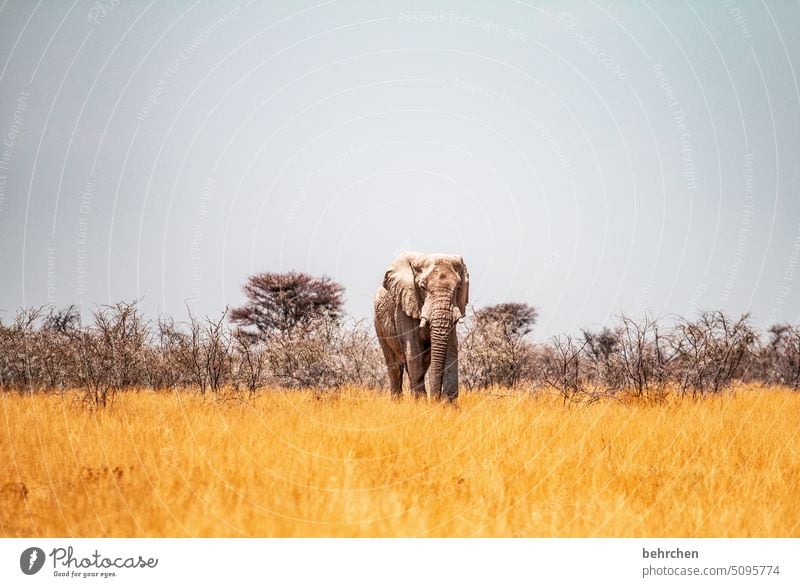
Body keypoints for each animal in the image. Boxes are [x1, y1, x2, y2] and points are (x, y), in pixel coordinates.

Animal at [374, 250, 468, 402]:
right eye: (423, 288)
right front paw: (421, 403)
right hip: (380, 325)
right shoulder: (404, 306)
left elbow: (452, 348)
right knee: (395, 367)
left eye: (458, 288)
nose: (436, 399)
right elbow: (412, 350)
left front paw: (448, 404)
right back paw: (397, 402)